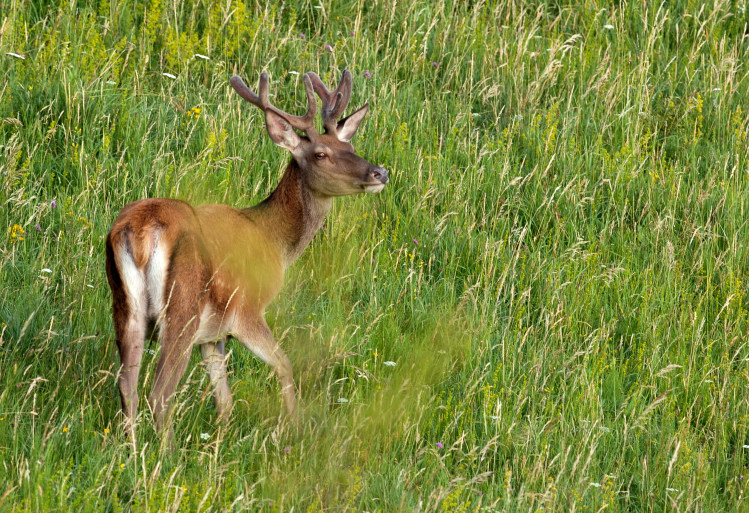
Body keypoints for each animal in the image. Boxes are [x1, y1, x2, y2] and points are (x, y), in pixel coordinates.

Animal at [105, 70, 388, 442]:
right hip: (182, 307)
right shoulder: (246, 311)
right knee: (160, 392)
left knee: (128, 385)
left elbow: (225, 400)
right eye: (321, 154)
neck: (275, 241)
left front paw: (220, 441)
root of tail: (140, 230)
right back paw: (164, 454)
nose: (379, 173)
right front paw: (293, 429)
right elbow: (284, 364)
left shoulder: (212, 335)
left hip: (126, 307)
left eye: (351, 147)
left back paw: (132, 449)